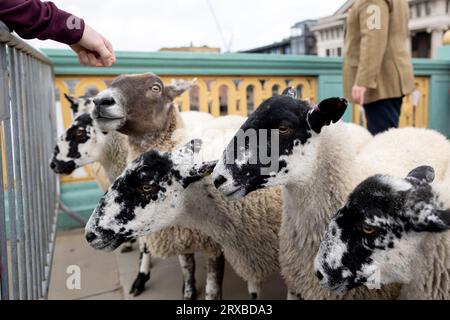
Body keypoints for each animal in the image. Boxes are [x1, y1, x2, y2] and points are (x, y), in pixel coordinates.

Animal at [49, 110, 230, 300]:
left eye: (79, 132)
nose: (90, 235)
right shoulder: (178, 236)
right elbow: (186, 266)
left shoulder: (213, 246)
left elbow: (211, 286)